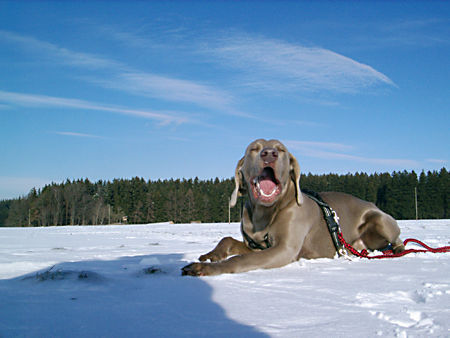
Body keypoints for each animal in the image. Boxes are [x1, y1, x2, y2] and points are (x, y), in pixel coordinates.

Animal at [181, 139, 406, 276]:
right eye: (254, 149)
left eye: (281, 150)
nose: (269, 154)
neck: (264, 213)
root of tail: (371, 203)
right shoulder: (257, 245)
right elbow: (227, 239)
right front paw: (210, 256)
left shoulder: (284, 249)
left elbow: (240, 258)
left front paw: (203, 268)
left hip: (379, 219)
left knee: (397, 239)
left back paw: (398, 249)